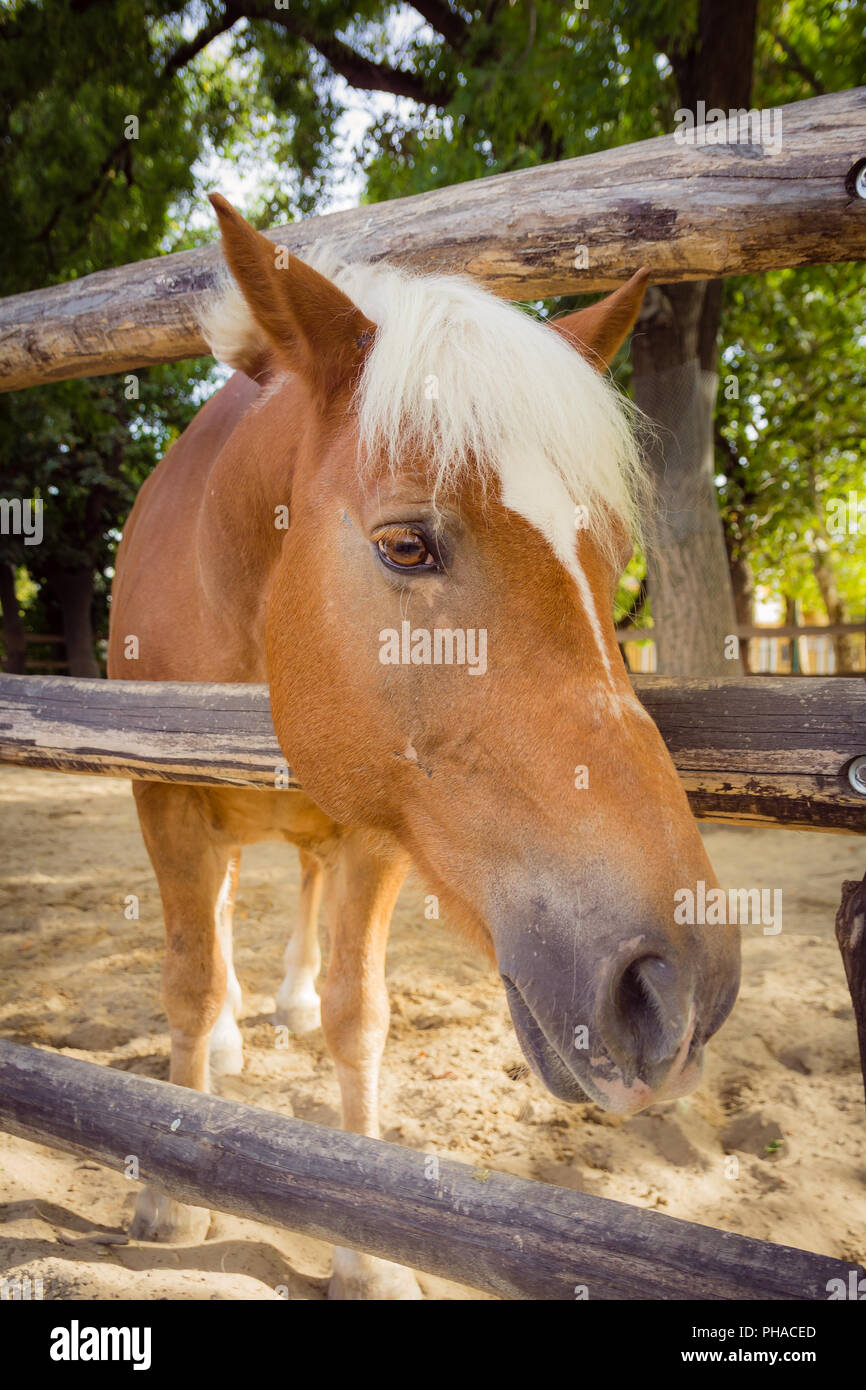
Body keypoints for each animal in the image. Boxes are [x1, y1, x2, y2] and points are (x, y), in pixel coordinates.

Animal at [108, 190, 739, 1295]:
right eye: (406, 544)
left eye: (614, 556)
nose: (678, 990)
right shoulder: (165, 793)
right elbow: (186, 981)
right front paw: (168, 1189)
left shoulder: (378, 831)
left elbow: (360, 1017)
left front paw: (365, 1252)